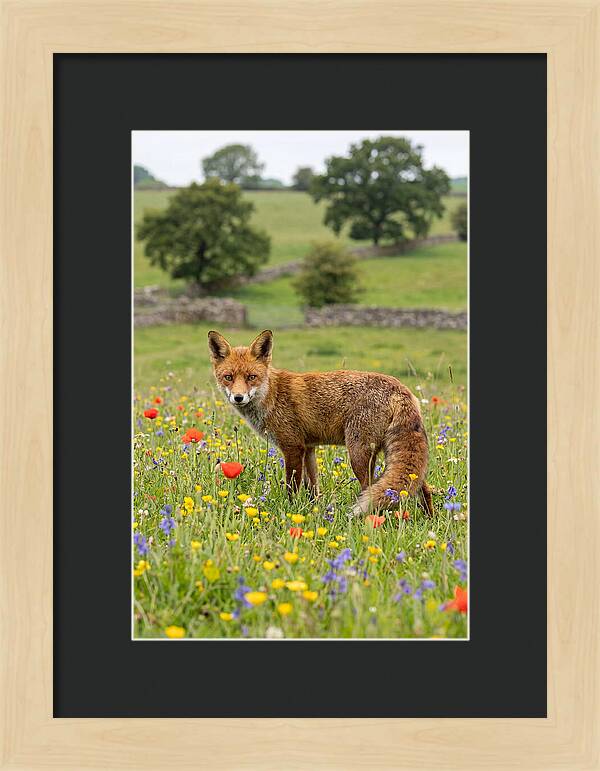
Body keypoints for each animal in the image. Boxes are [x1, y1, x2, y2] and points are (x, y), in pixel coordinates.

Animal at [208, 329, 434, 517]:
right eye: (228, 377)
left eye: (251, 377)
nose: (238, 397)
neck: (271, 395)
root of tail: (400, 388)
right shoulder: (308, 448)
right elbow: (313, 488)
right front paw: (313, 510)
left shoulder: (292, 447)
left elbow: (292, 486)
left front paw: (290, 510)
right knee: (422, 487)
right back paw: (429, 518)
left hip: (358, 454)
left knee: (370, 489)